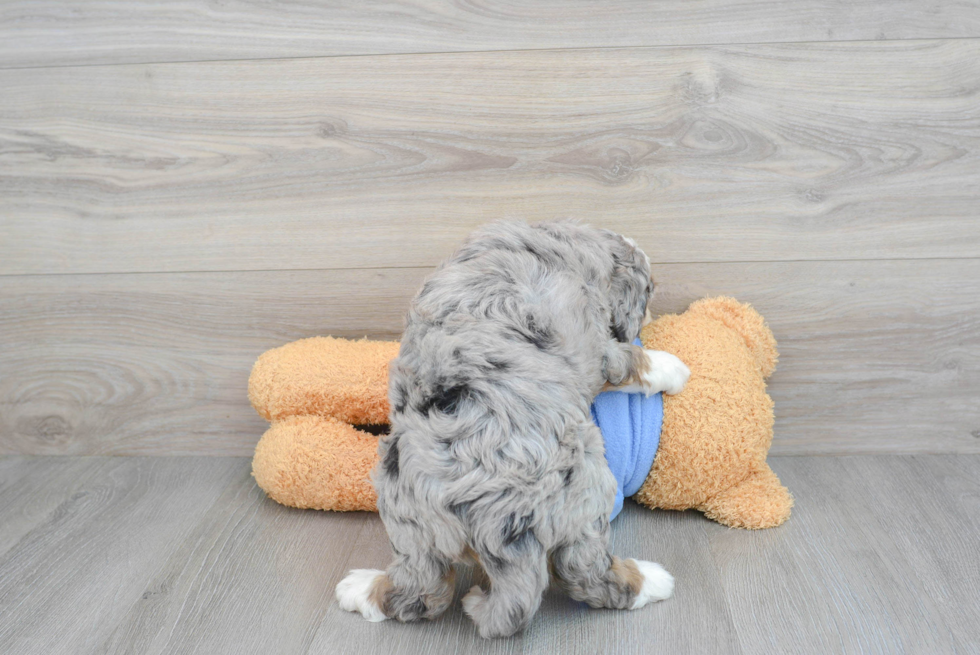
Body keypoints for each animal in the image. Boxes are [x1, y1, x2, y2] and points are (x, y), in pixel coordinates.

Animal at [336, 219, 688, 636]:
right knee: (584, 573)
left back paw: (359, 589)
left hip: (407, 513)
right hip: (585, 483)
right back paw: (651, 580)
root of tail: (494, 519)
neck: (564, 246)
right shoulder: (598, 348)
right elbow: (628, 360)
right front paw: (672, 368)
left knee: (419, 593)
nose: (651, 315)